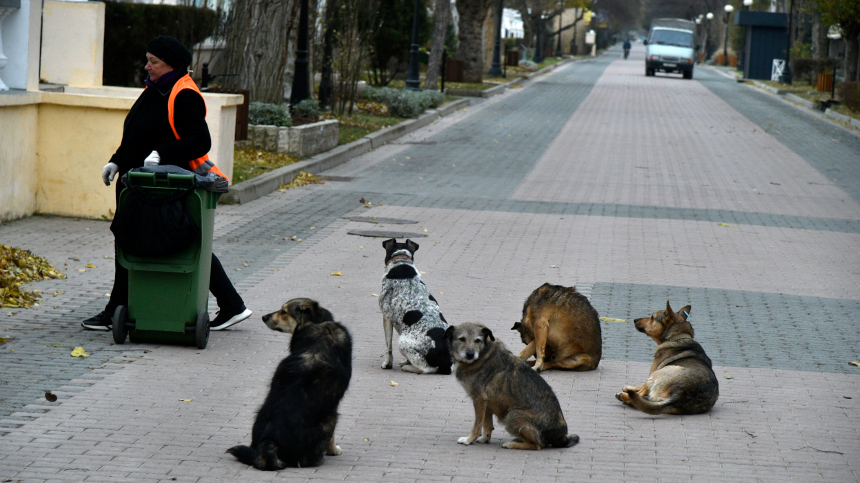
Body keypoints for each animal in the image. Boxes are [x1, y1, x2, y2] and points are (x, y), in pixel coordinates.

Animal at [228, 296, 352, 470]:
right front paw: (333, 450)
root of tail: (270, 441)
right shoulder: (333, 403)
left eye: (284, 312)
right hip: (330, 418)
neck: (314, 324)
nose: (264, 317)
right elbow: (332, 438)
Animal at [380, 240, 454, 376]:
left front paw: (387, 364)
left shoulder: (386, 317)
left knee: (425, 368)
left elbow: (388, 346)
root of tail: (447, 363)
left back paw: (408, 367)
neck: (401, 261)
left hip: (402, 342)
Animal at [446, 324, 580, 452]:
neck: (483, 354)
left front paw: (469, 439)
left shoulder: (479, 399)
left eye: (477, 340)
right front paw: (484, 438)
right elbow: (487, 424)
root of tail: (561, 437)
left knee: (537, 445)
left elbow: (477, 425)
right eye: (462, 339)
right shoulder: (487, 402)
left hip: (512, 415)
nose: (470, 354)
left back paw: (512, 444)